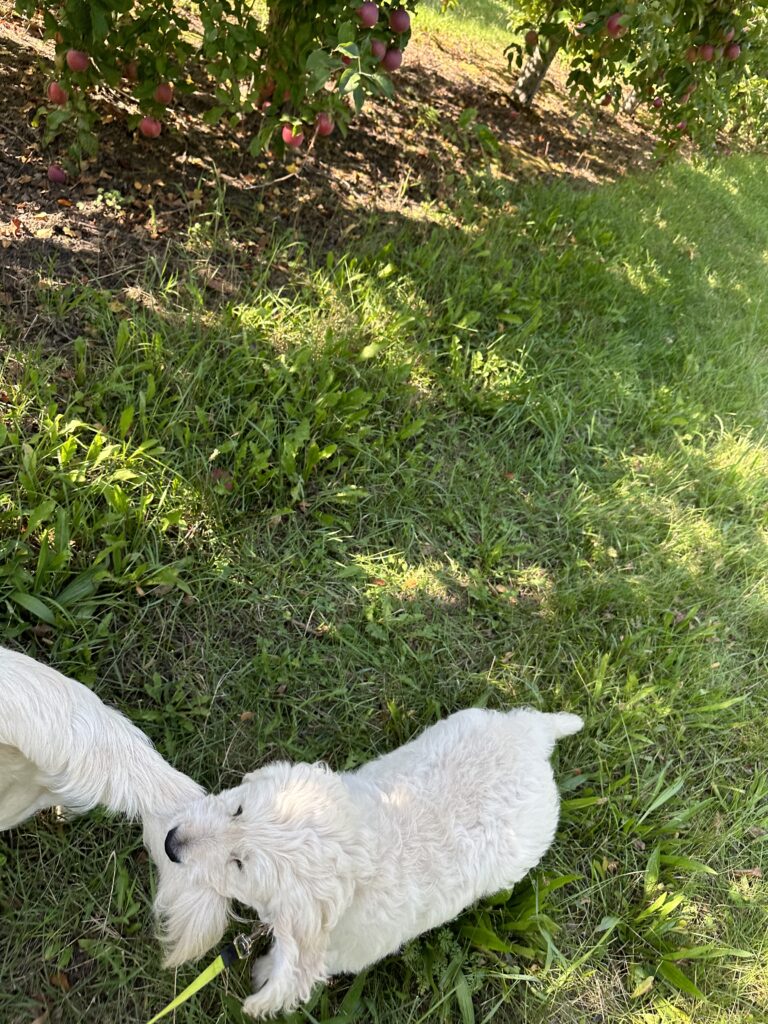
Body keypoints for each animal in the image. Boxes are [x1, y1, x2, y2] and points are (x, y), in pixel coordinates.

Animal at [156, 706, 583, 1018]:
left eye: (238, 865)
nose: (170, 842)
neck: (366, 853)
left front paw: (263, 977)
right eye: (238, 810)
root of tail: (535, 739)